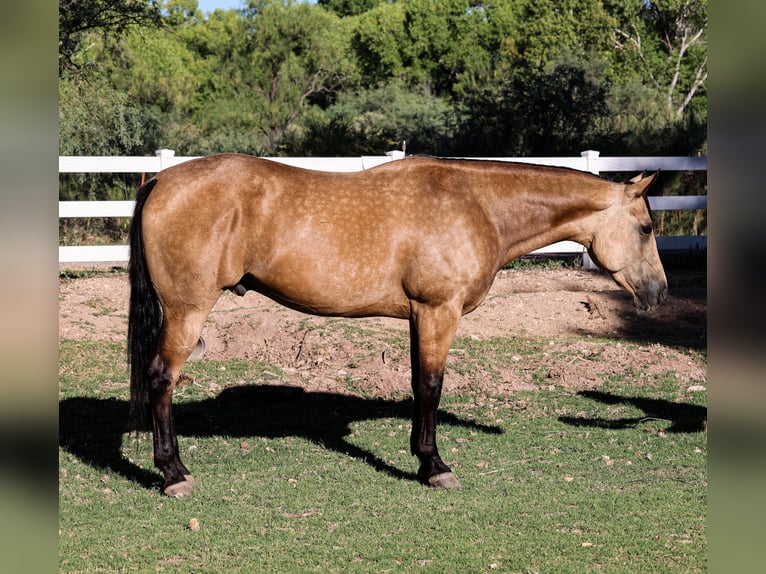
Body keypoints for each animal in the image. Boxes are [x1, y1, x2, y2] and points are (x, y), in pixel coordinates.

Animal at [126, 155, 664, 498]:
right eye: (646, 228)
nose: (659, 294)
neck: (477, 205)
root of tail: (160, 181)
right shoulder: (438, 310)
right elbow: (430, 386)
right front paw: (434, 467)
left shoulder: (418, 316)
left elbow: (416, 383)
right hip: (187, 311)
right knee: (161, 378)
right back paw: (173, 473)